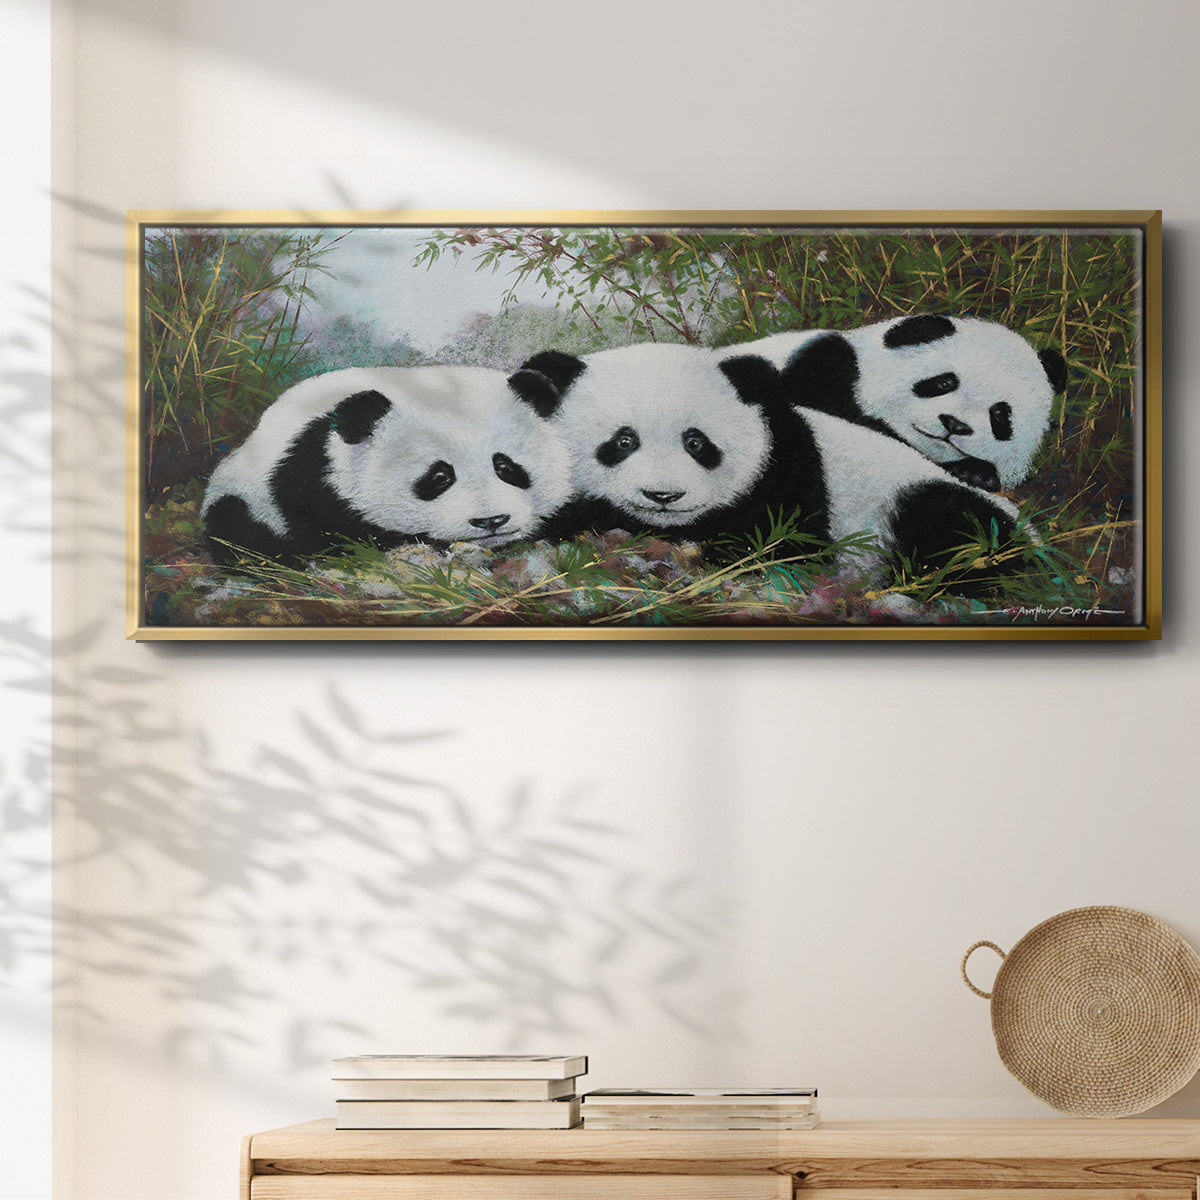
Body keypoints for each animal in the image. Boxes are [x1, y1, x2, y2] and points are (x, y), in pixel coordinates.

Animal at [201, 365, 571, 564]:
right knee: (236, 528)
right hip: (242, 493)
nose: (490, 521)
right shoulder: (309, 477)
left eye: (506, 467)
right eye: (439, 477)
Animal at [520, 343, 1034, 591]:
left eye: (696, 443)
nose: (663, 496)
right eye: (623, 441)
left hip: (923, 505)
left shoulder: (790, 471)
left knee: (957, 531)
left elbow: (785, 544)